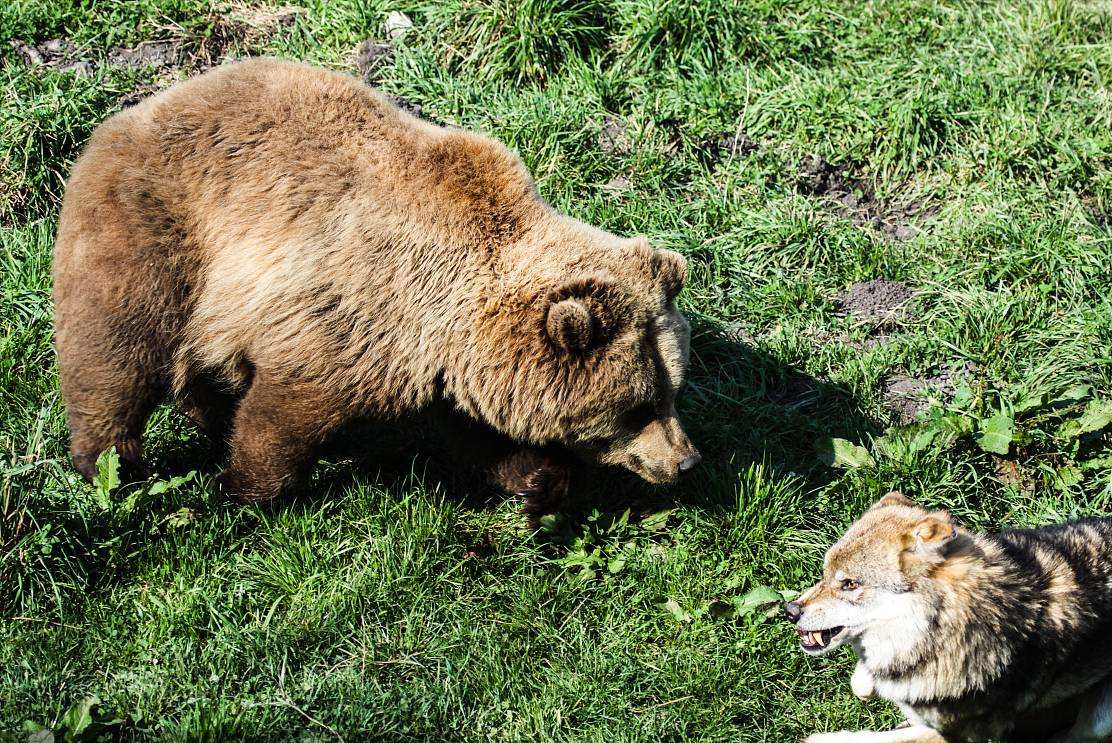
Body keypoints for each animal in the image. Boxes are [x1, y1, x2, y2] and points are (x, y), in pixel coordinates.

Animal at [52, 59, 698, 516]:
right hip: (154, 229)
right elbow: (286, 410)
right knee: (116, 347)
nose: (686, 461)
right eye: (637, 406)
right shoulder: (352, 311)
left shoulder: (449, 360)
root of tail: (133, 111)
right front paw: (242, 488)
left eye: (673, 390)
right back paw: (111, 463)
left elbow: (483, 431)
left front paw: (542, 482)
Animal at [782, 489, 1112, 738]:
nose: (790, 611)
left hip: (1098, 721)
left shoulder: (961, 733)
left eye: (850, 584)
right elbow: (863, 682)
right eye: (825, 574)